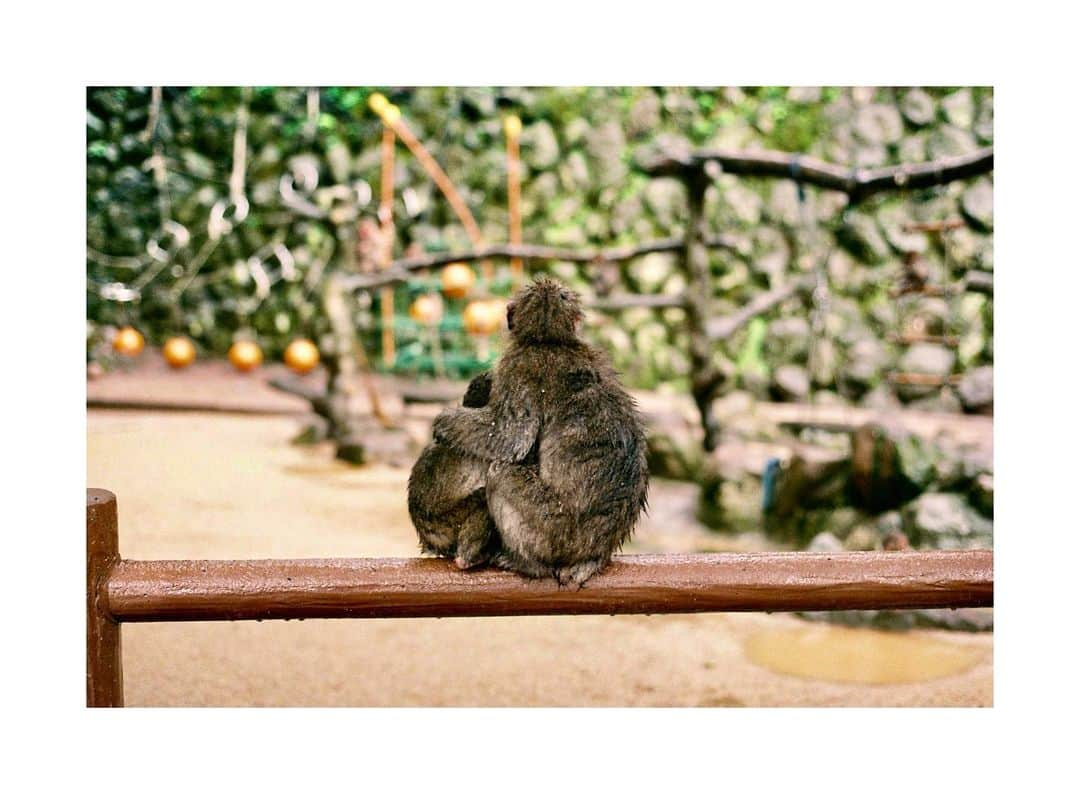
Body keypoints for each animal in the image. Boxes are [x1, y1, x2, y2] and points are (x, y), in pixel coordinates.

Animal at [429, 276, 648, 587]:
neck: (548, 341)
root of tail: (595, 551)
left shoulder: (517, 365)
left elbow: (511, 438)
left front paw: (443, 423)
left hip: (552, 529)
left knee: (501, 473)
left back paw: (527, 564)